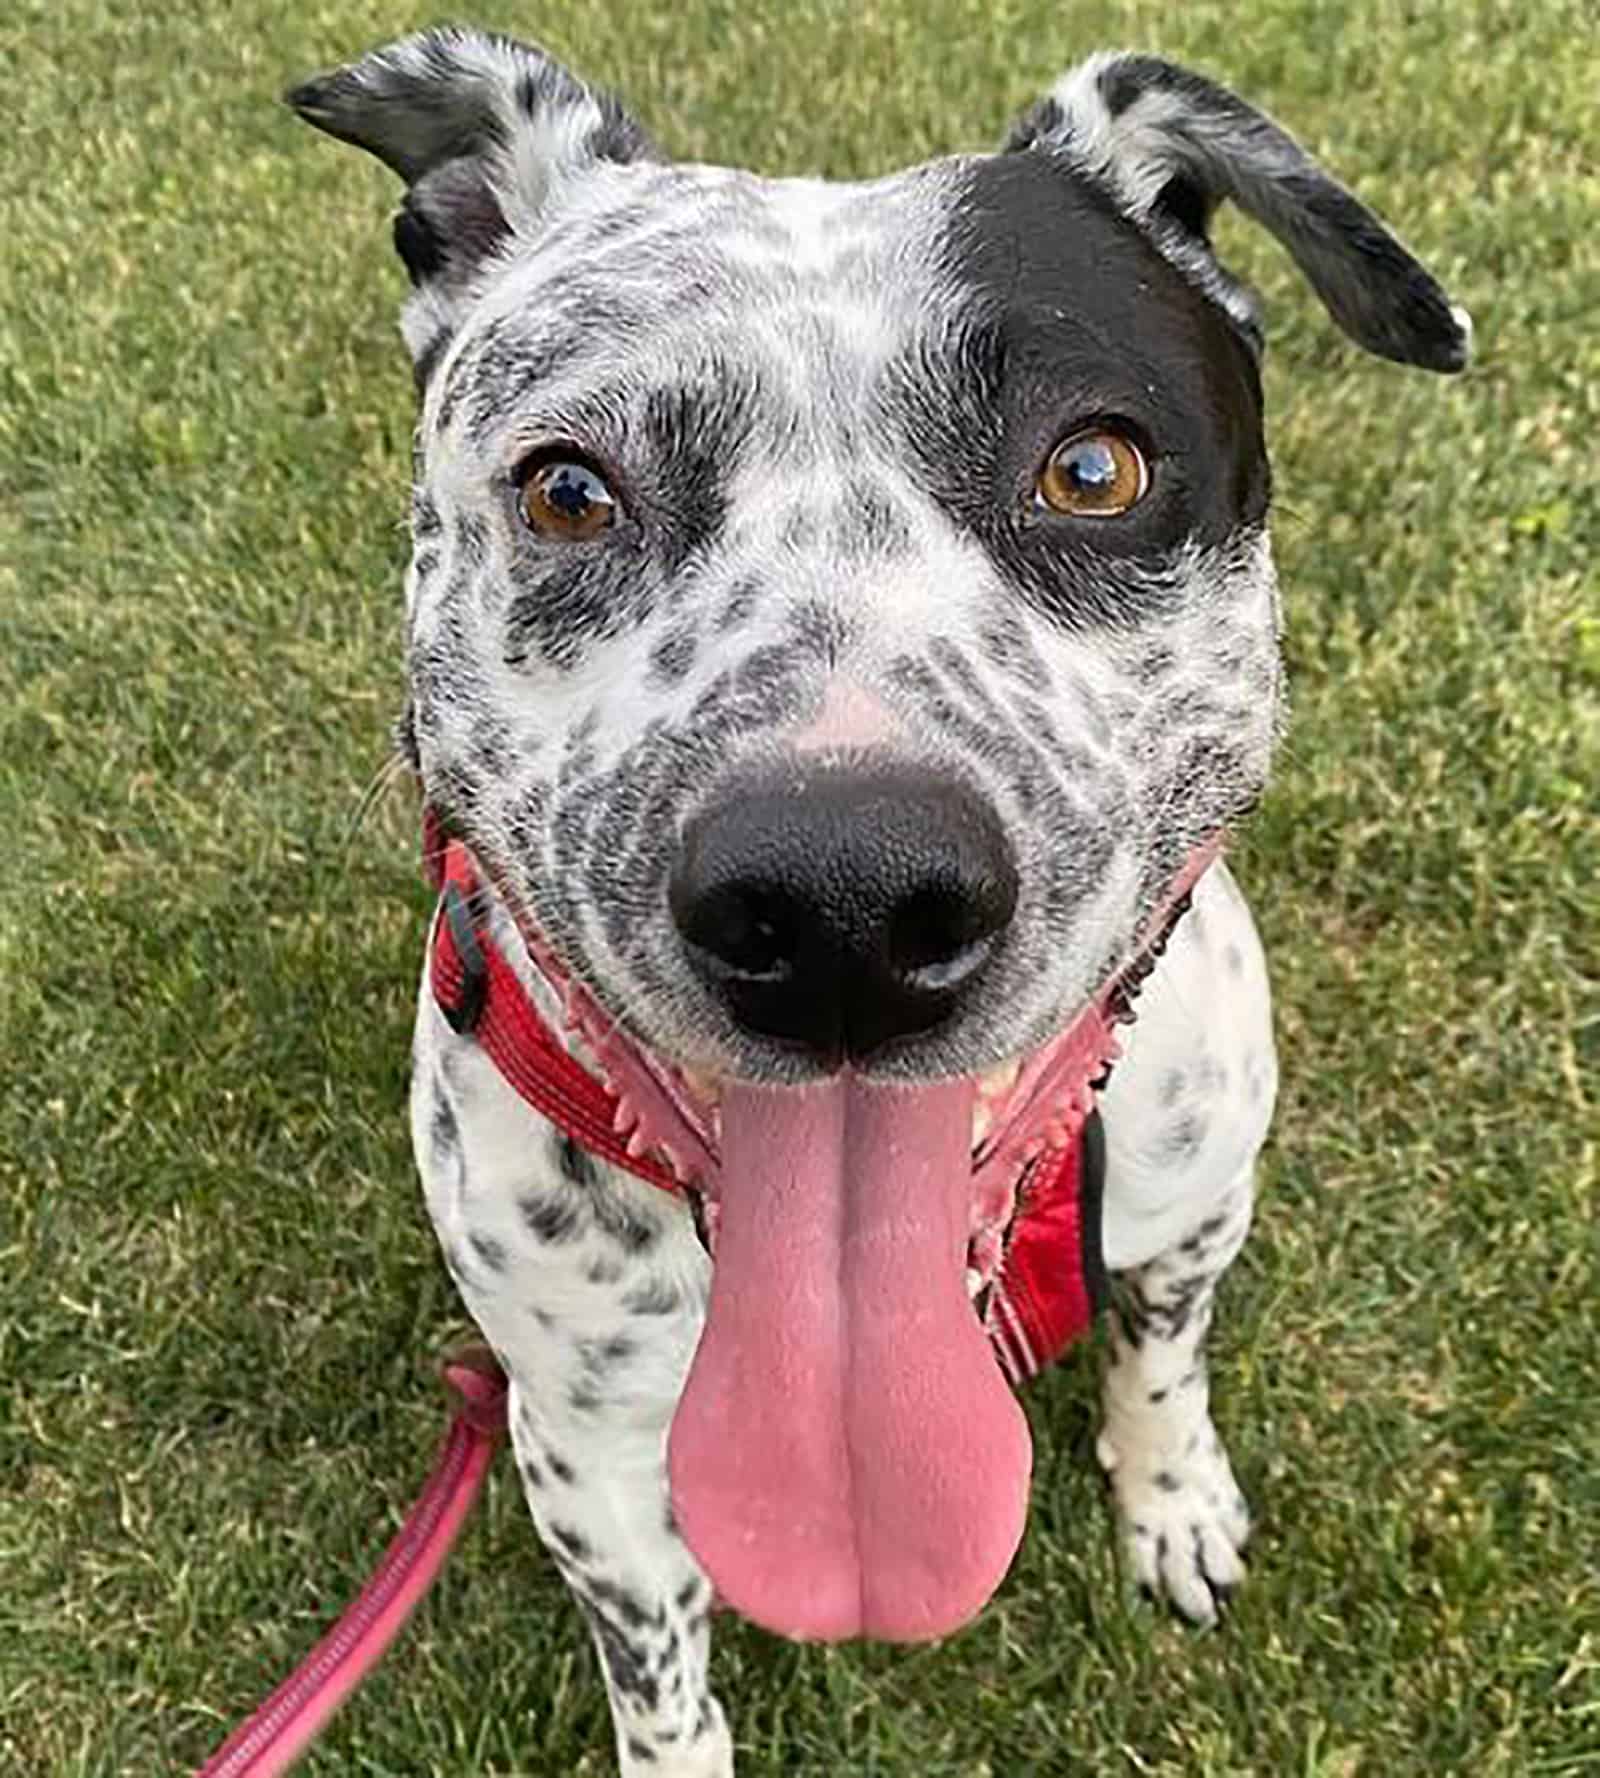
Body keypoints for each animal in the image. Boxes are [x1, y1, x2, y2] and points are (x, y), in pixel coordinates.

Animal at [284, 31, 1464, 1778]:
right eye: (568, 490)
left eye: (1094, 465)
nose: (844, 905)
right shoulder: (589, 1453)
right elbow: (661, 1675)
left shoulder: (1198, 1208)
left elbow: (1164, 1356)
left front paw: (1173, 1494)